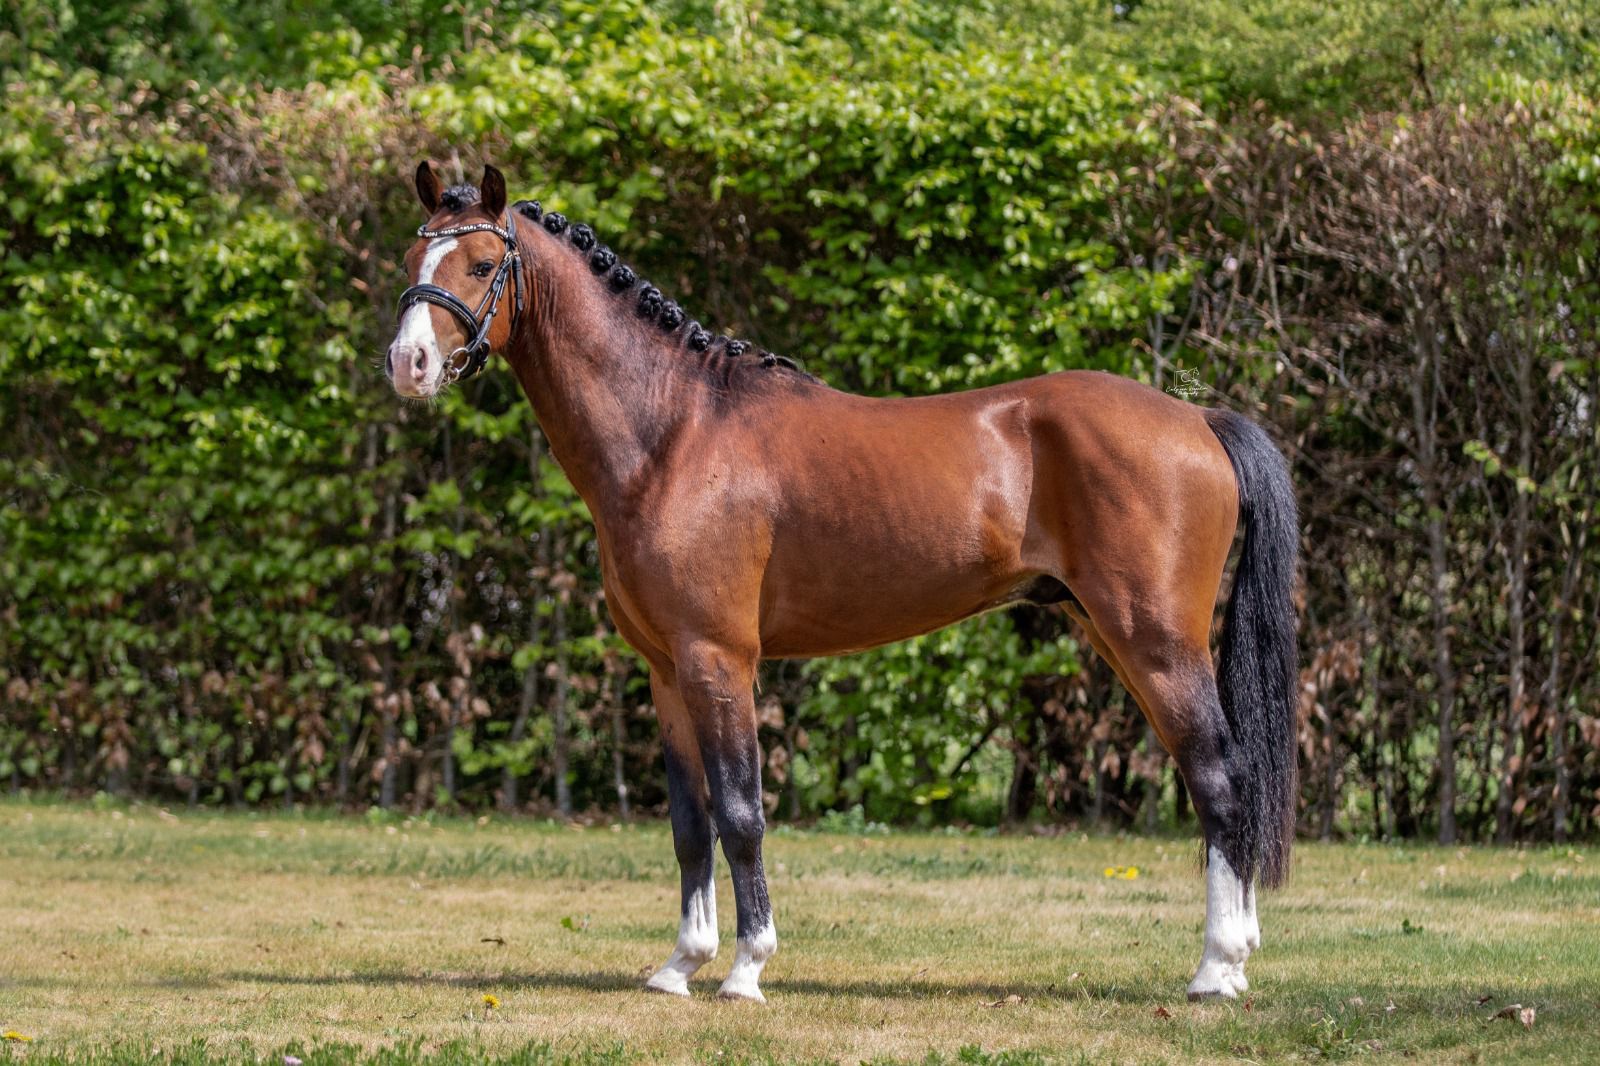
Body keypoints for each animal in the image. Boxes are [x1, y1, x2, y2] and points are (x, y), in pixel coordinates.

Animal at [385, 162, 1300, 1004]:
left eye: (479, 264)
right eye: (411, 255)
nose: (408, 362)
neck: (673, 433)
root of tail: (1197, 419)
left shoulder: (720, 660)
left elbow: (741, 813)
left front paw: (746, 969)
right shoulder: (667, 671)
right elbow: (690, 823)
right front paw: (681, 965)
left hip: (1156, 643)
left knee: (1221, 780)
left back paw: (1217, 970)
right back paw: (1238, 953)